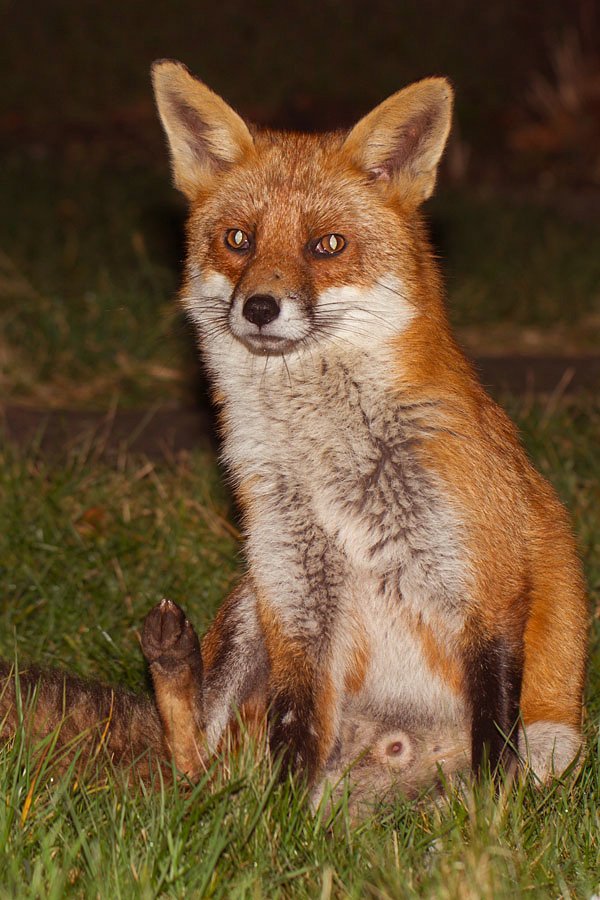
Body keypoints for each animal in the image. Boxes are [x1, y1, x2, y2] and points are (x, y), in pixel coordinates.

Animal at [0, 60, 588, 810]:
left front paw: (488, 820)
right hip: (249, 604)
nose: (259, 307)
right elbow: (293, 731)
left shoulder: (487, 584)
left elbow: (495, 741)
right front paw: (276, 824)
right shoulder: (296, 599)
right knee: (192, 766)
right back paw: (176, 669)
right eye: (239, 240)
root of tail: (371, 793)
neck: (330, 462)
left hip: (558, 741)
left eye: (326, 245)